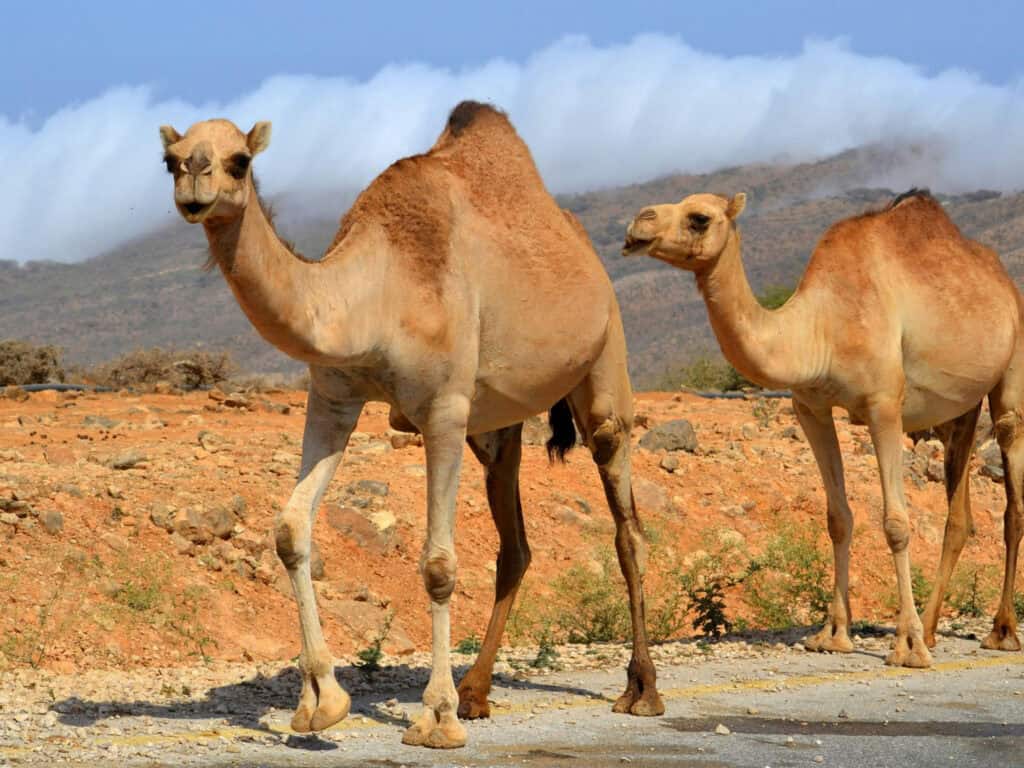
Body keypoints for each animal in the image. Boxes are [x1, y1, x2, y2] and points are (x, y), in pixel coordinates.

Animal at [158, 102, 663, 749]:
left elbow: (438, 566)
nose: (194, 182)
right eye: (170, 159)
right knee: (516, 546)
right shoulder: (333, 397)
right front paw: (319, 702)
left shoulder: (443, 409)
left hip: (604, 362)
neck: (375, 293)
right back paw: (477, 693)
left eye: (239, 160)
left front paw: (436, 718)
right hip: (497, 427)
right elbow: (291, 530)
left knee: (626, 523)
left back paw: (640, 690)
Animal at [623, 189, 1024, 667]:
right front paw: (832, 633)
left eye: (699, 218)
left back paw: (999, 632)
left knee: (1012, 491)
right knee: (959, 513)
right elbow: (838, 518)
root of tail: (1005, 283)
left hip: (1011, 376)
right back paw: (932, 628)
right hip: (959, 409)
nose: (637, 224)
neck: (819, 329)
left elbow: (896, 523)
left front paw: (907, 647)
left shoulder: (883, 405)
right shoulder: (810, 407)